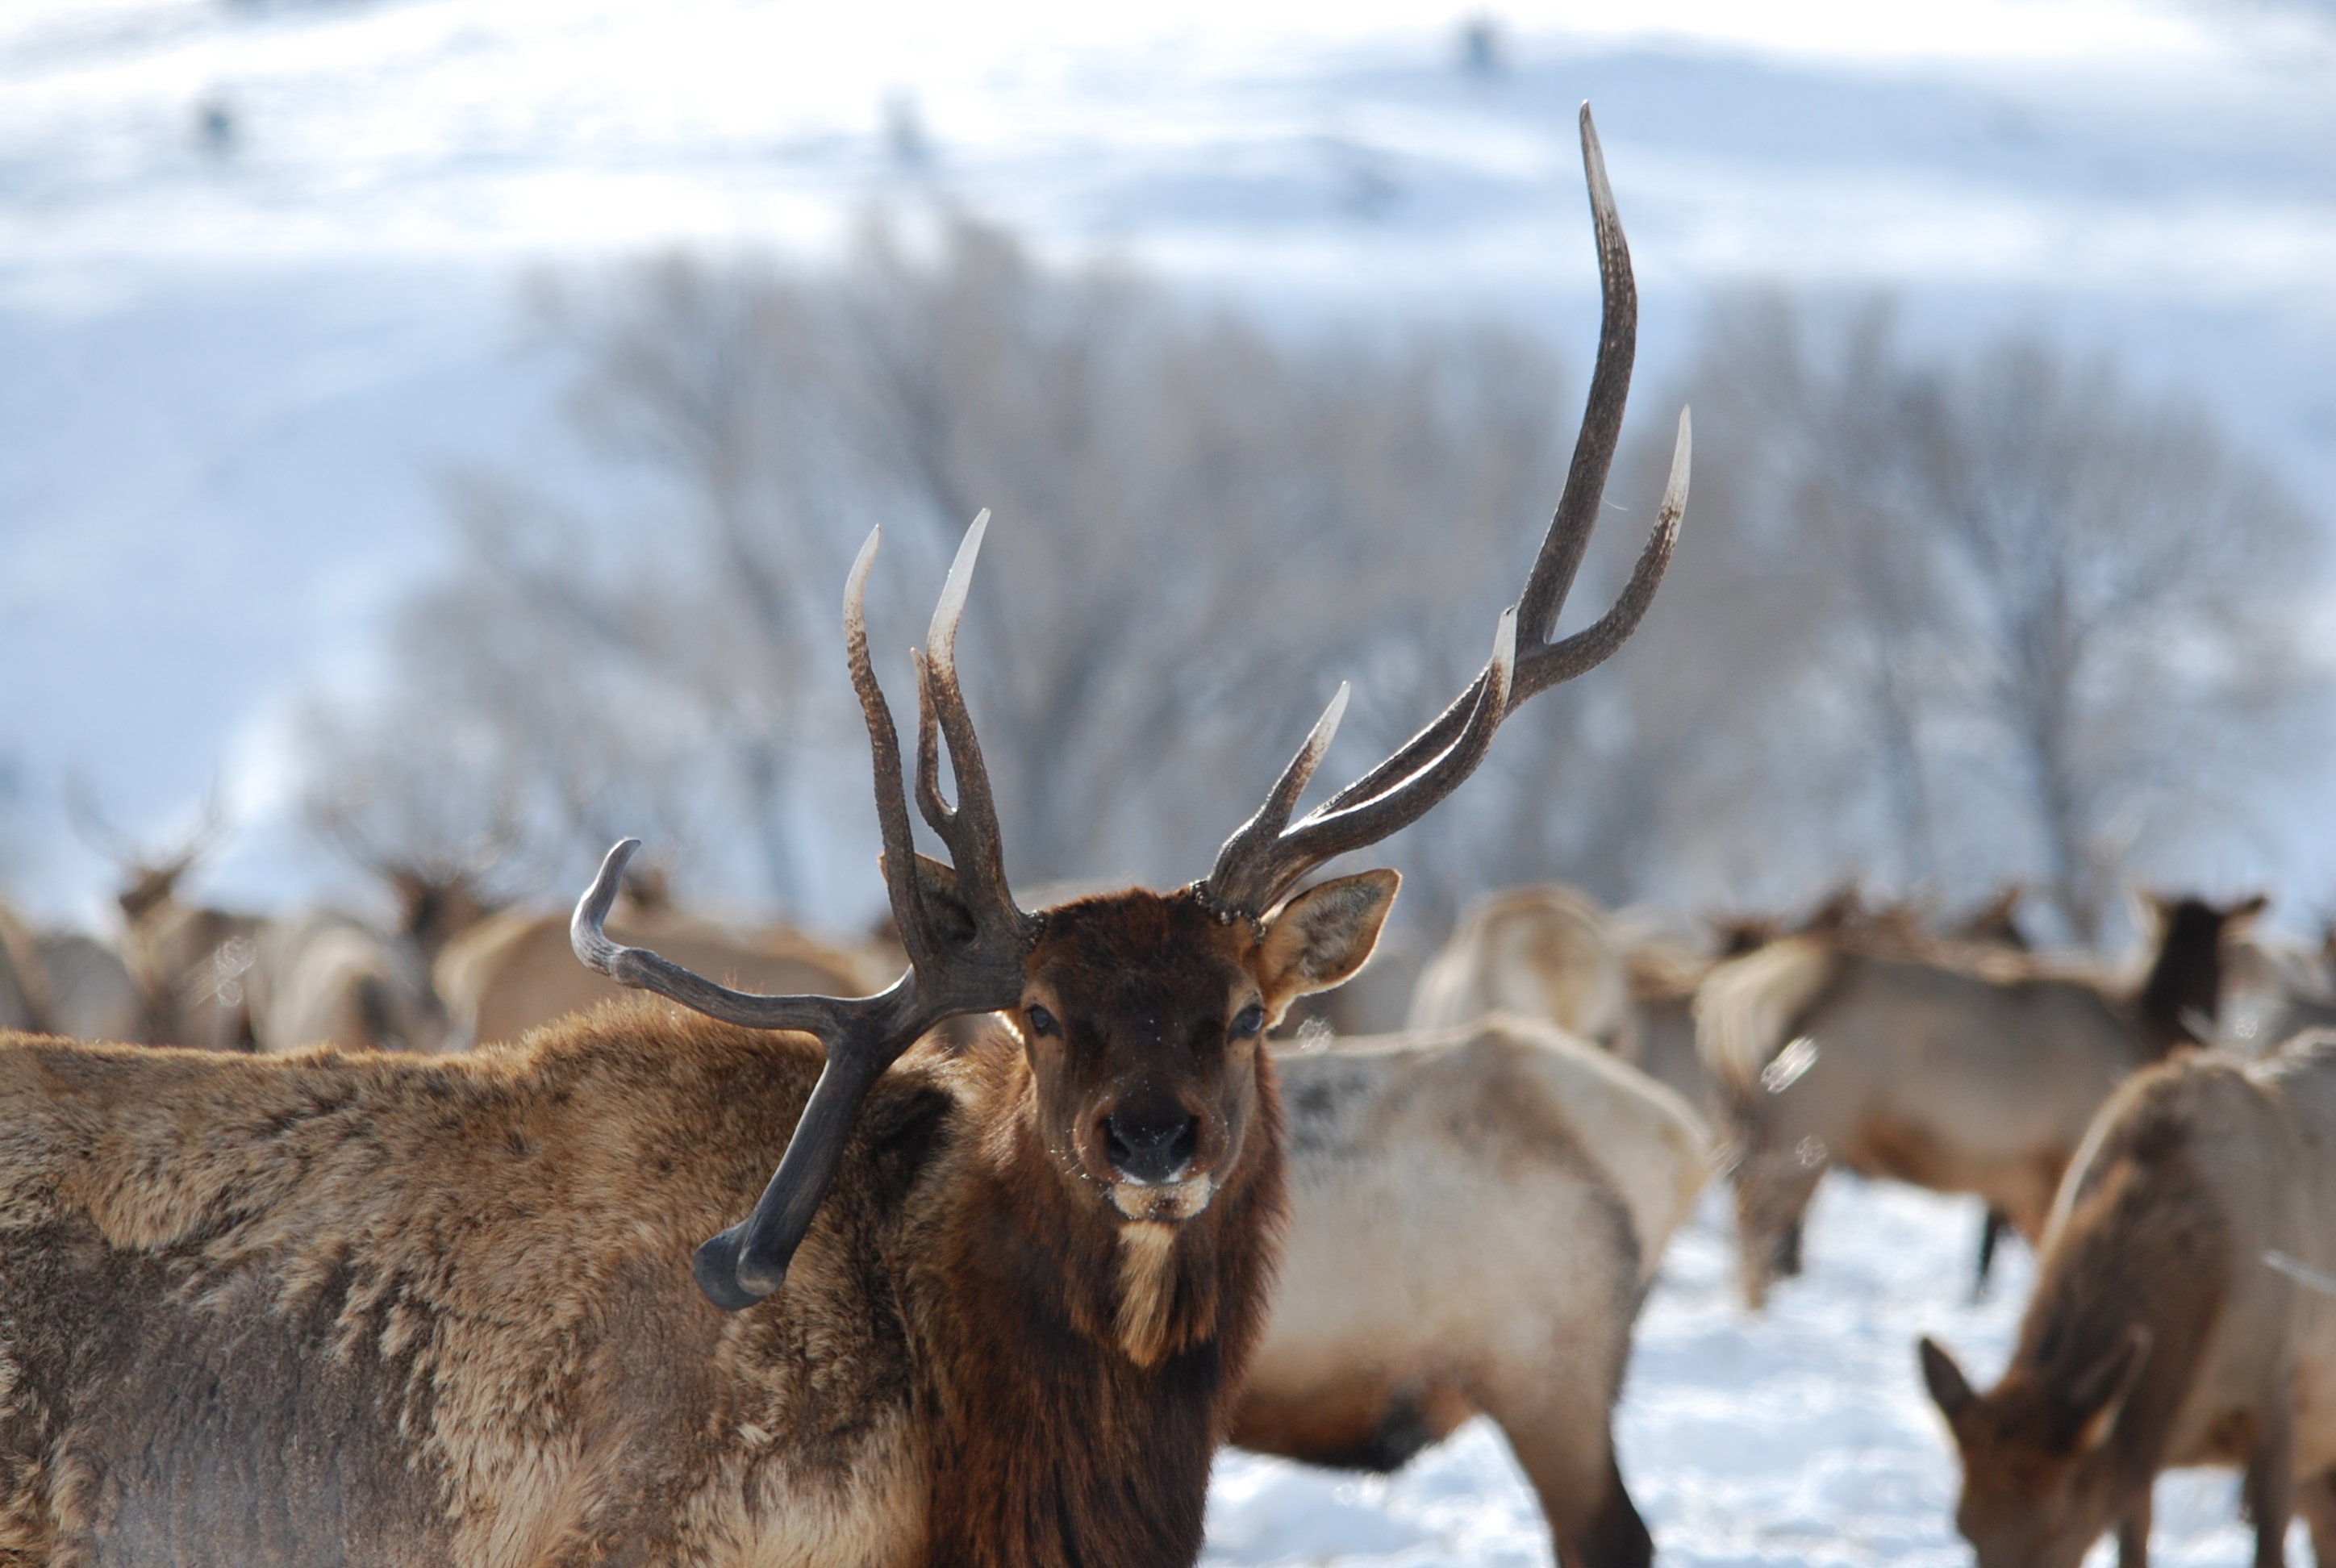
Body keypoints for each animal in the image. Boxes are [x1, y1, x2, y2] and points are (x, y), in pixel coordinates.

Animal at [1699, 890, 2266, 1310]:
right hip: (1810, 1116)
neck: (2146, 1028)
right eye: (2231, 948)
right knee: (1758, 1221)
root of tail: (1727, 998)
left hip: (1746, 1118)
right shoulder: (2069, 1154)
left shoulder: (2022, 1179)